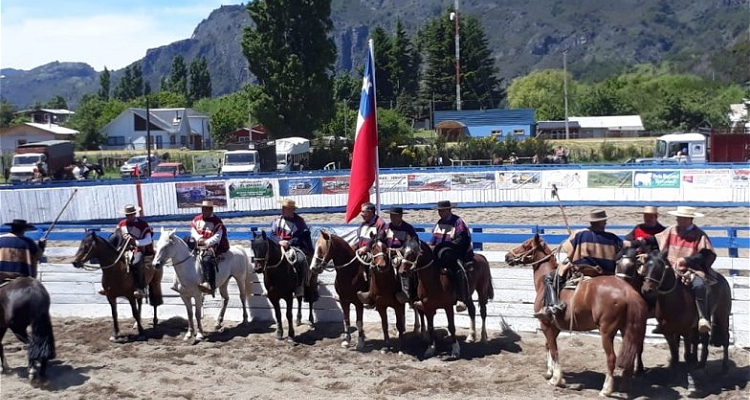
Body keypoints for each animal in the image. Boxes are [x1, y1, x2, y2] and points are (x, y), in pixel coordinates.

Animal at [506, 234, 652, 396]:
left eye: (525, 245)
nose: (507, 256)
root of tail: (628, 291)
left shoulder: (546, 324)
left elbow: (554, 349)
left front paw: (556, 379)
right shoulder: (554, 326)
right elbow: (548, 346)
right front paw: (550, 372)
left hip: (607, 332)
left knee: (611, 358)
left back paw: (606, 389)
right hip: (627, 329)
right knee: (628, 358)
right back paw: (625, 388)